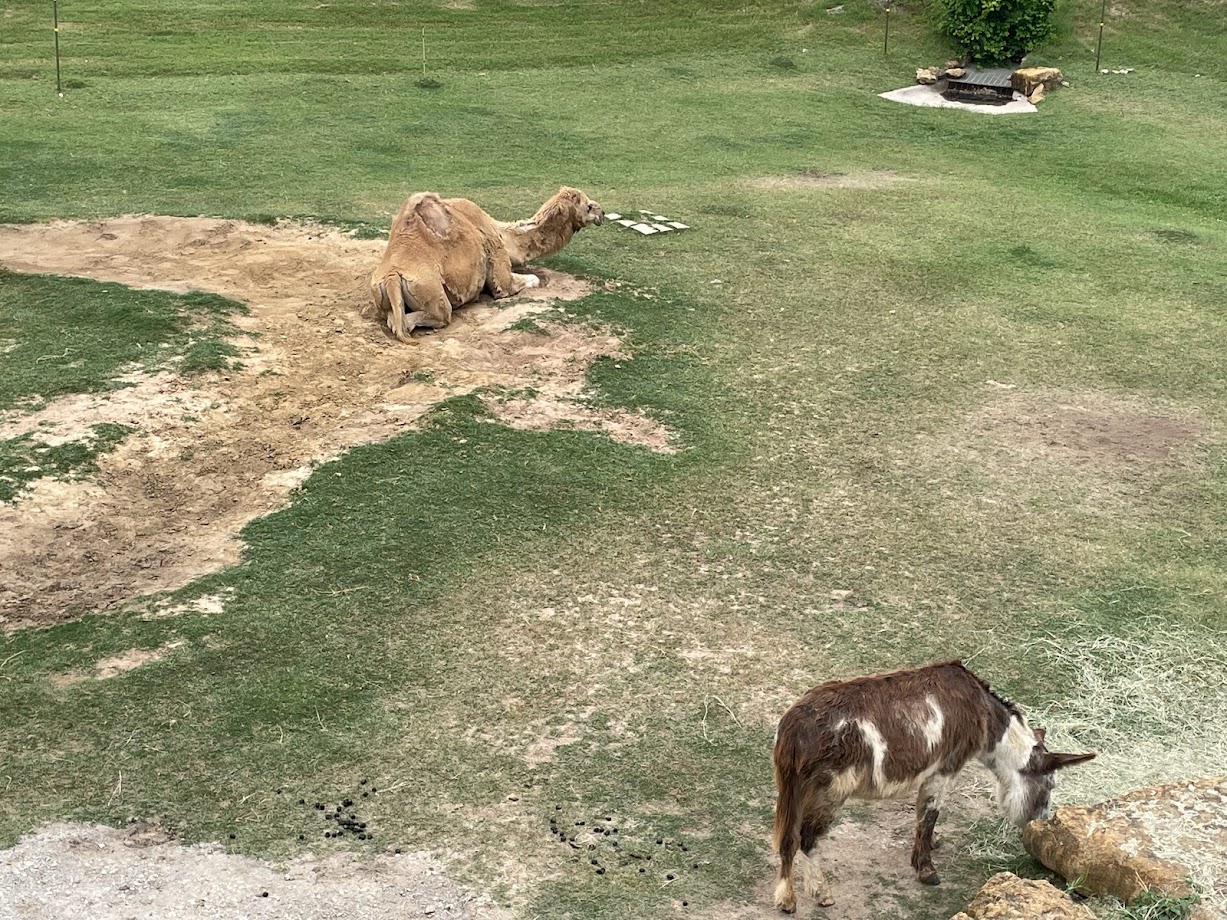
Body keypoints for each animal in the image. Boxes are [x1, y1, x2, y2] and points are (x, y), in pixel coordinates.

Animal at [369, 187, 603, 342]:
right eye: (588, 205)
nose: (601, 213)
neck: (503, 234)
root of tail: (391, 276)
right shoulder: (498, 265)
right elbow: (525, 281)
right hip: (430, 290)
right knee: (434, 316)